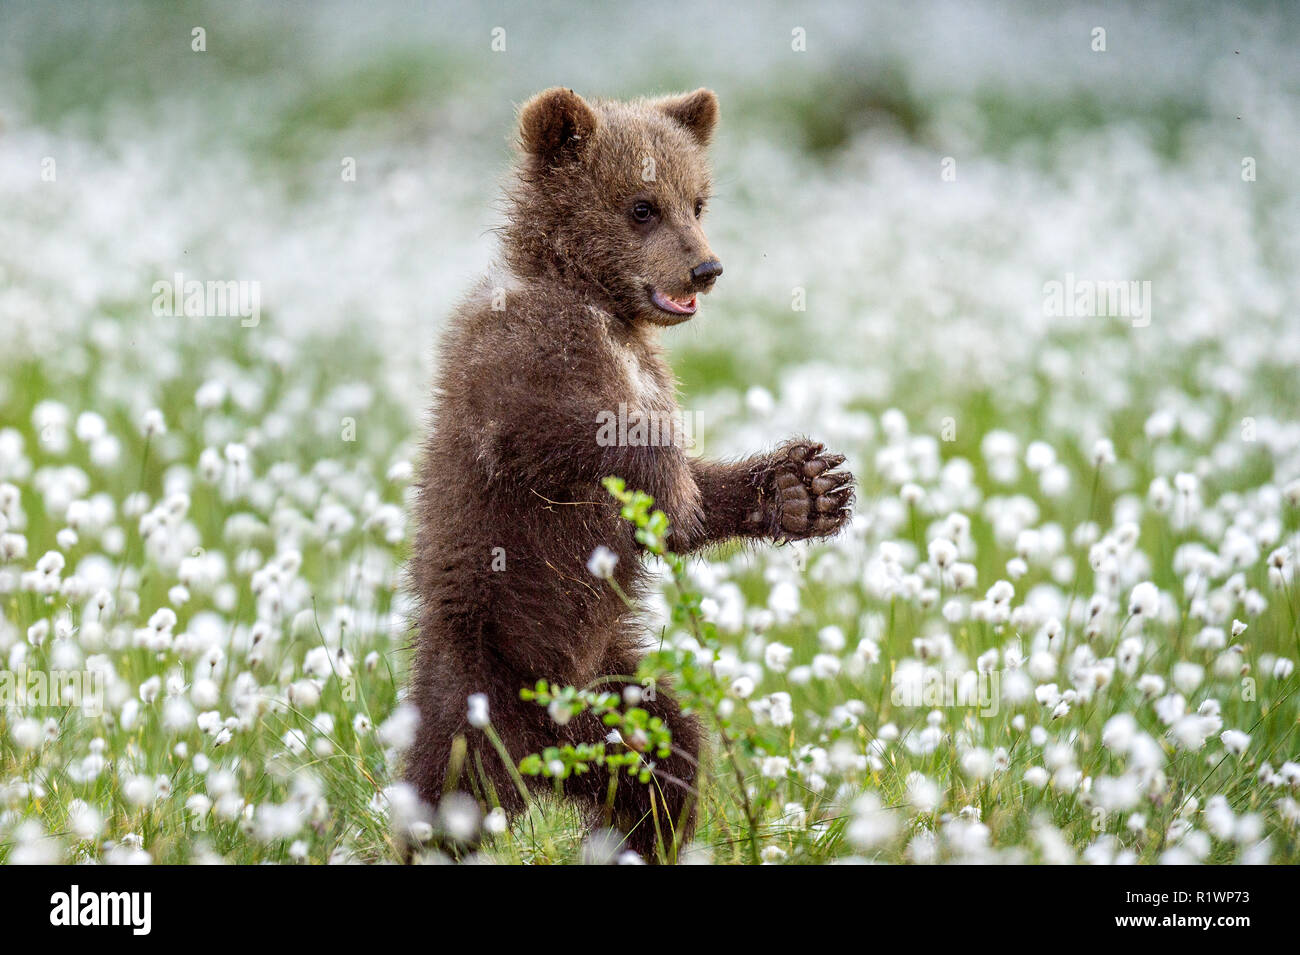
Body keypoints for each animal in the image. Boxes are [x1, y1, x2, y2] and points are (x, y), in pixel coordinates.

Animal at [404, 87, 854, 862]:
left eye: (697, 202)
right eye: (642, 206)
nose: (706, 269)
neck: (602, 305)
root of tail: (546, 751)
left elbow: (680, 520)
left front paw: (802, 489)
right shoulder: (516, 354)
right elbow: (553, 429)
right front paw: (669, 468)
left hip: (614, 693)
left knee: (665, 764)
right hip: (480, 679)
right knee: (451, 795)